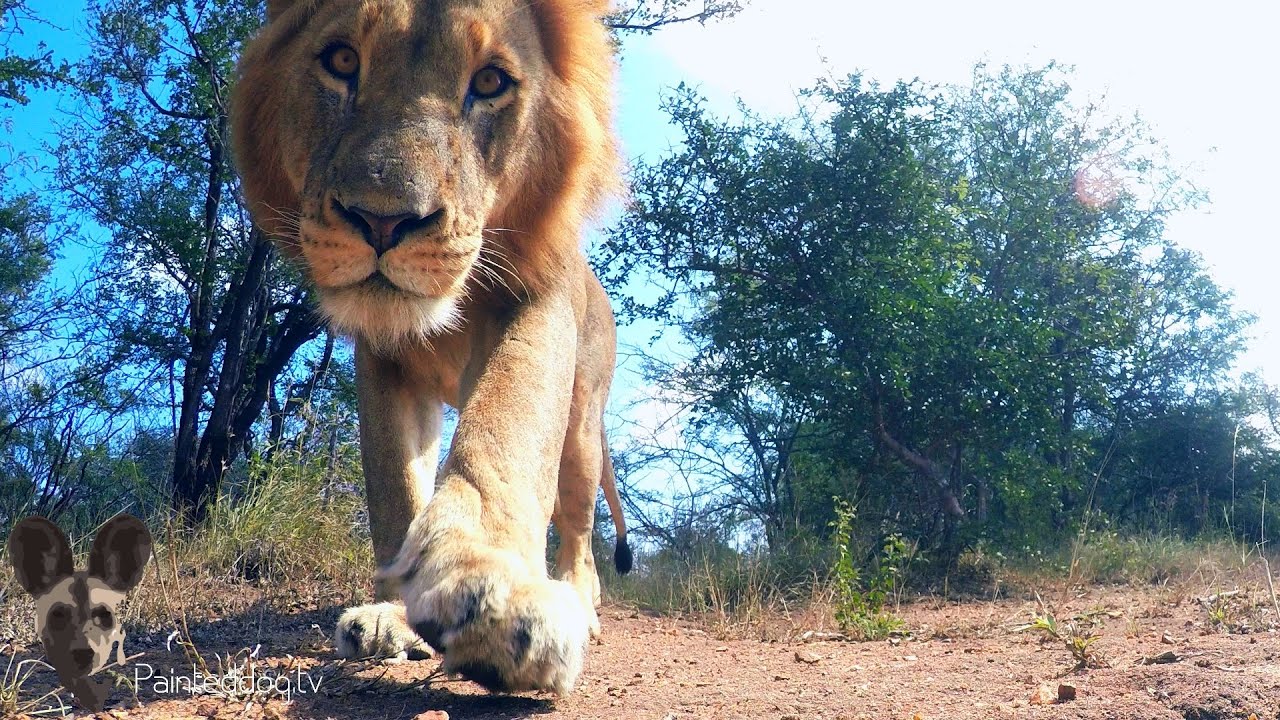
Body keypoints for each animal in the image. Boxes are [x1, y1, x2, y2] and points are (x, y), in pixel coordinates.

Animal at [230, 0, 631, 695]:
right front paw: (393, 615)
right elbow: (394, 482)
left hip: (583, 428)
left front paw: (490, 595)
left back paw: (580, 601)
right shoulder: (383, 358)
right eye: (342, 60)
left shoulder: (536, 304)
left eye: (490, 82)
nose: (383, 221)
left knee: (579, 528)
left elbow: (505, 431)